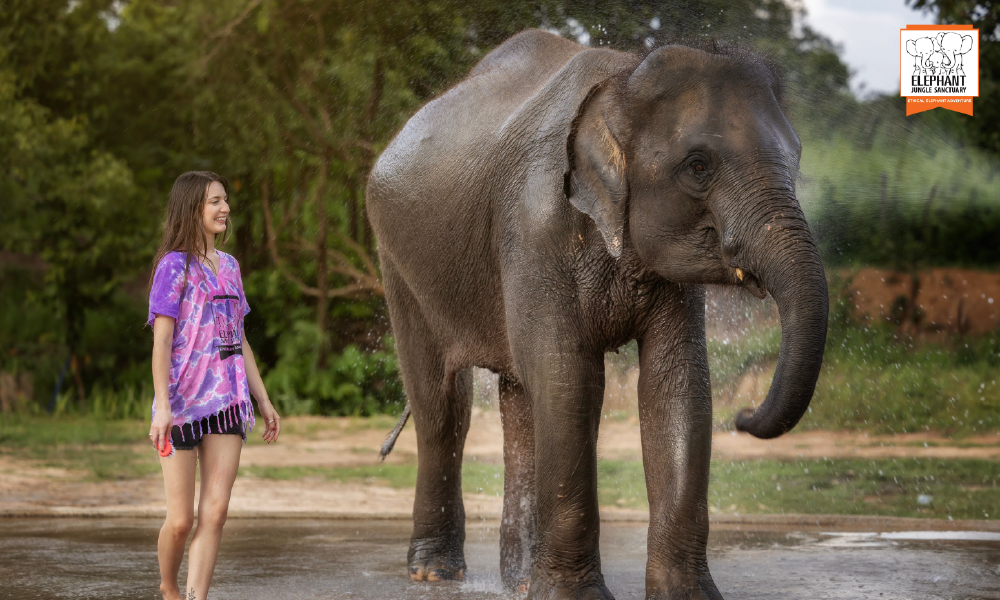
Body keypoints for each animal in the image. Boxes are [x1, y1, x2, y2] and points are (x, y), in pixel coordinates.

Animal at [367, 30, 828, 600]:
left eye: (797, 157)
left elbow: (676, 387)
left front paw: (686, 597)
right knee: (443, 406)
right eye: (698, 166)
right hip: (400, 262)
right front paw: (574, 598)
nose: (743, 416)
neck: (622, 81)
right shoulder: (536, 229)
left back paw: (521, 582)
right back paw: (435, 573)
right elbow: (570, 380)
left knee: (520, 402)